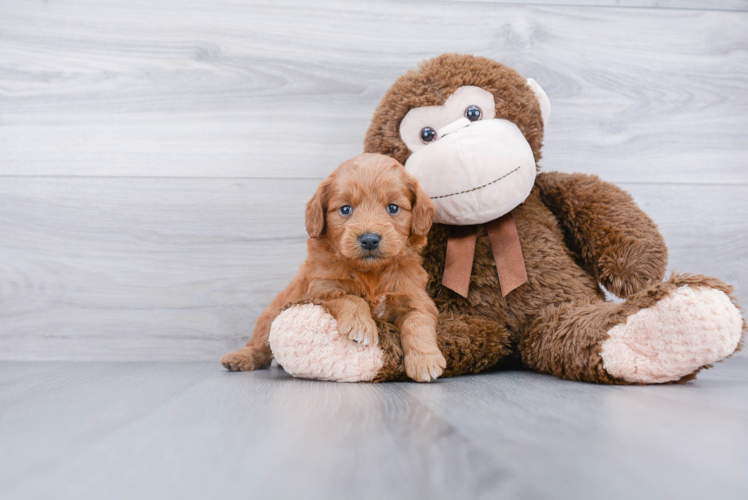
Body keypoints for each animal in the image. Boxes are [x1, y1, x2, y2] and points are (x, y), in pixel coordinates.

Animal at [219, 152, 448, 382]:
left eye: (393, 208)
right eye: (345, 209)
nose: (369, 240)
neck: (371, 273)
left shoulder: (416, 297)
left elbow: (418, 323)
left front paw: (425, 360)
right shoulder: (320, 291)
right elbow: (351, 298)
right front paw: (361, 325)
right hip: (271, 315)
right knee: (259, 344)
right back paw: (240, 358)